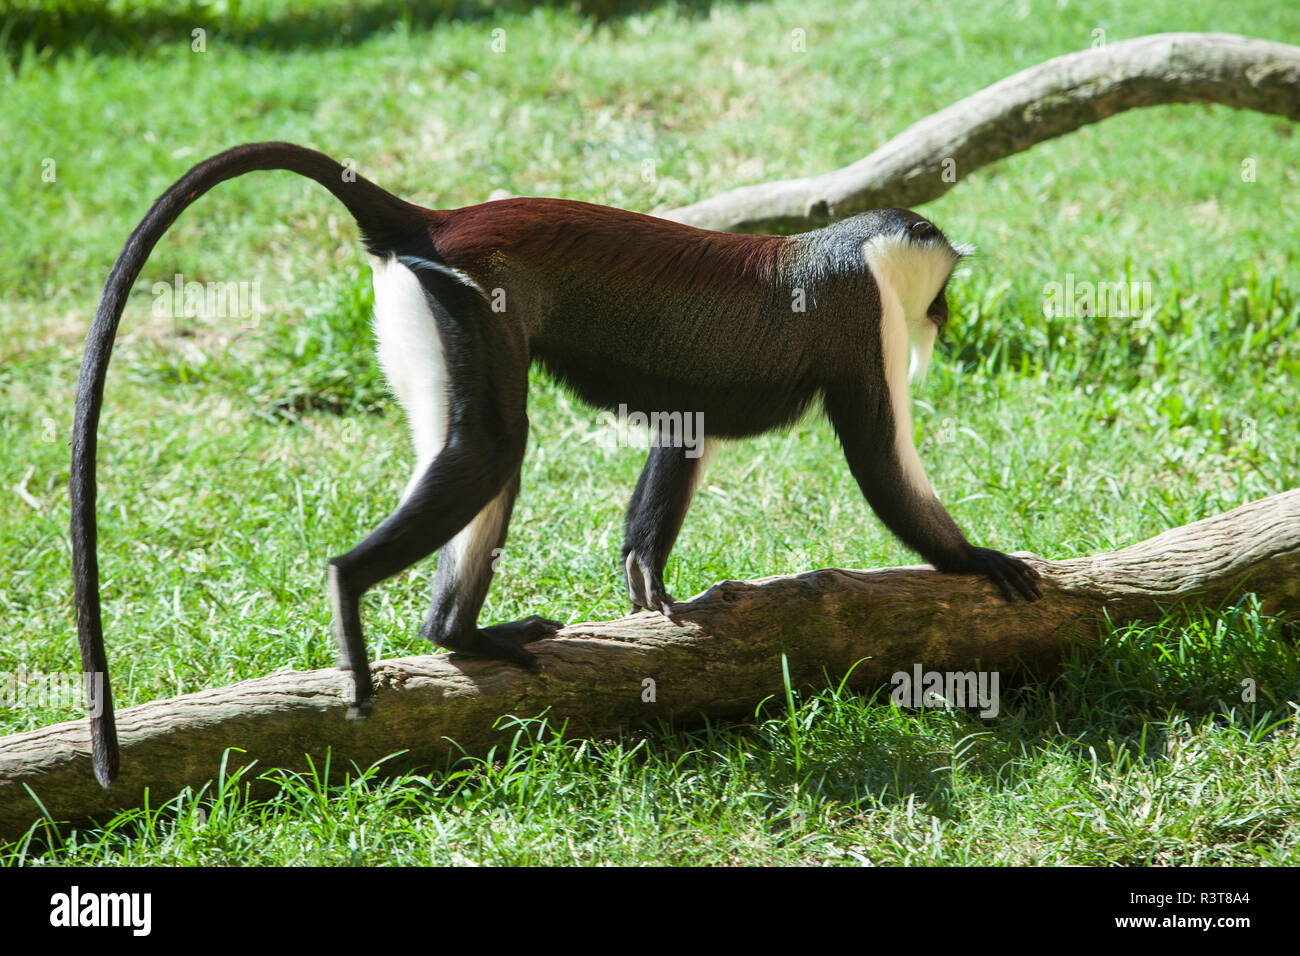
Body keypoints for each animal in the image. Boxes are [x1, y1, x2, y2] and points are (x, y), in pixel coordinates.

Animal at [72, 141, 1041, 788]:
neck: (846, 250)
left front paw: (648, 582)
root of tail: (439, 223)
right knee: (494, 447)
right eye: (942, 287)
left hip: (439, 316)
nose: (943, 318)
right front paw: (977, 559)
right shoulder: (858, 319)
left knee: (485, 456)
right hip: (471, 303)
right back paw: (356, 589)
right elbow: (878, 460)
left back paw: (457, 635)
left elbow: (684, 431)